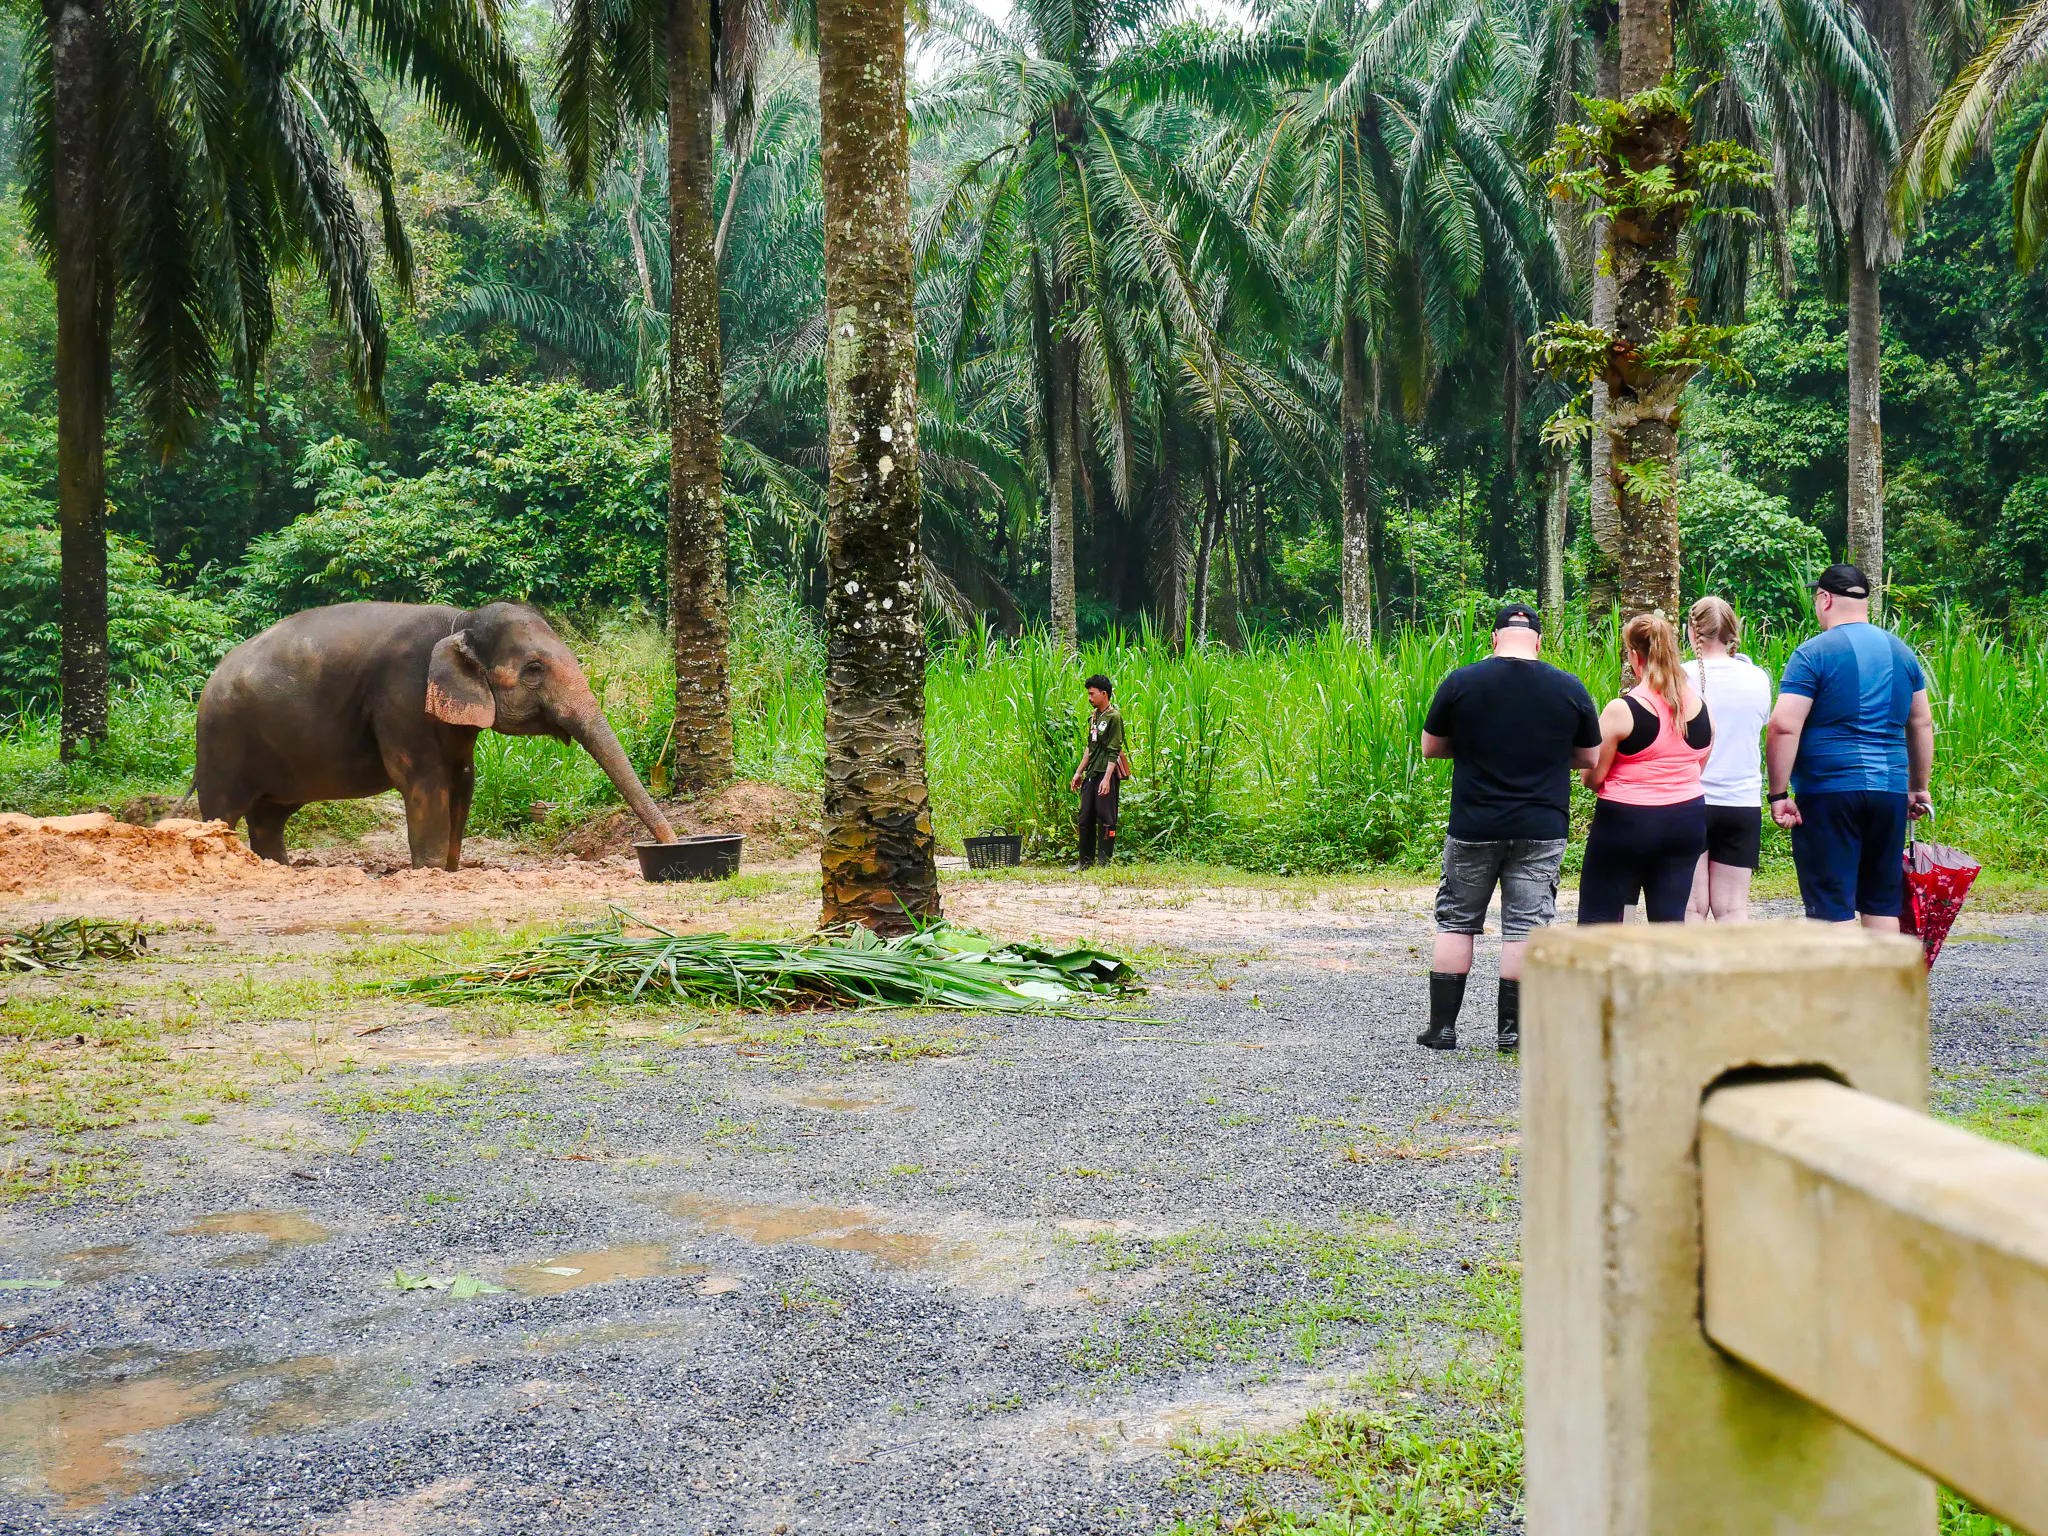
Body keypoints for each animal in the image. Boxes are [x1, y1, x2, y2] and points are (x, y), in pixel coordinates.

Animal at [195, 600, 676, 868]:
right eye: (534, 670)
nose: (670, 844)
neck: (460, 621)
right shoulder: (402, 695)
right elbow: (423, 782)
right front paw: (426, 870)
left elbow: (462, 778)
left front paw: (449, 869)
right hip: (222, 741)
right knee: (223, 811)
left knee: (270, 816)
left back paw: (276, 868)